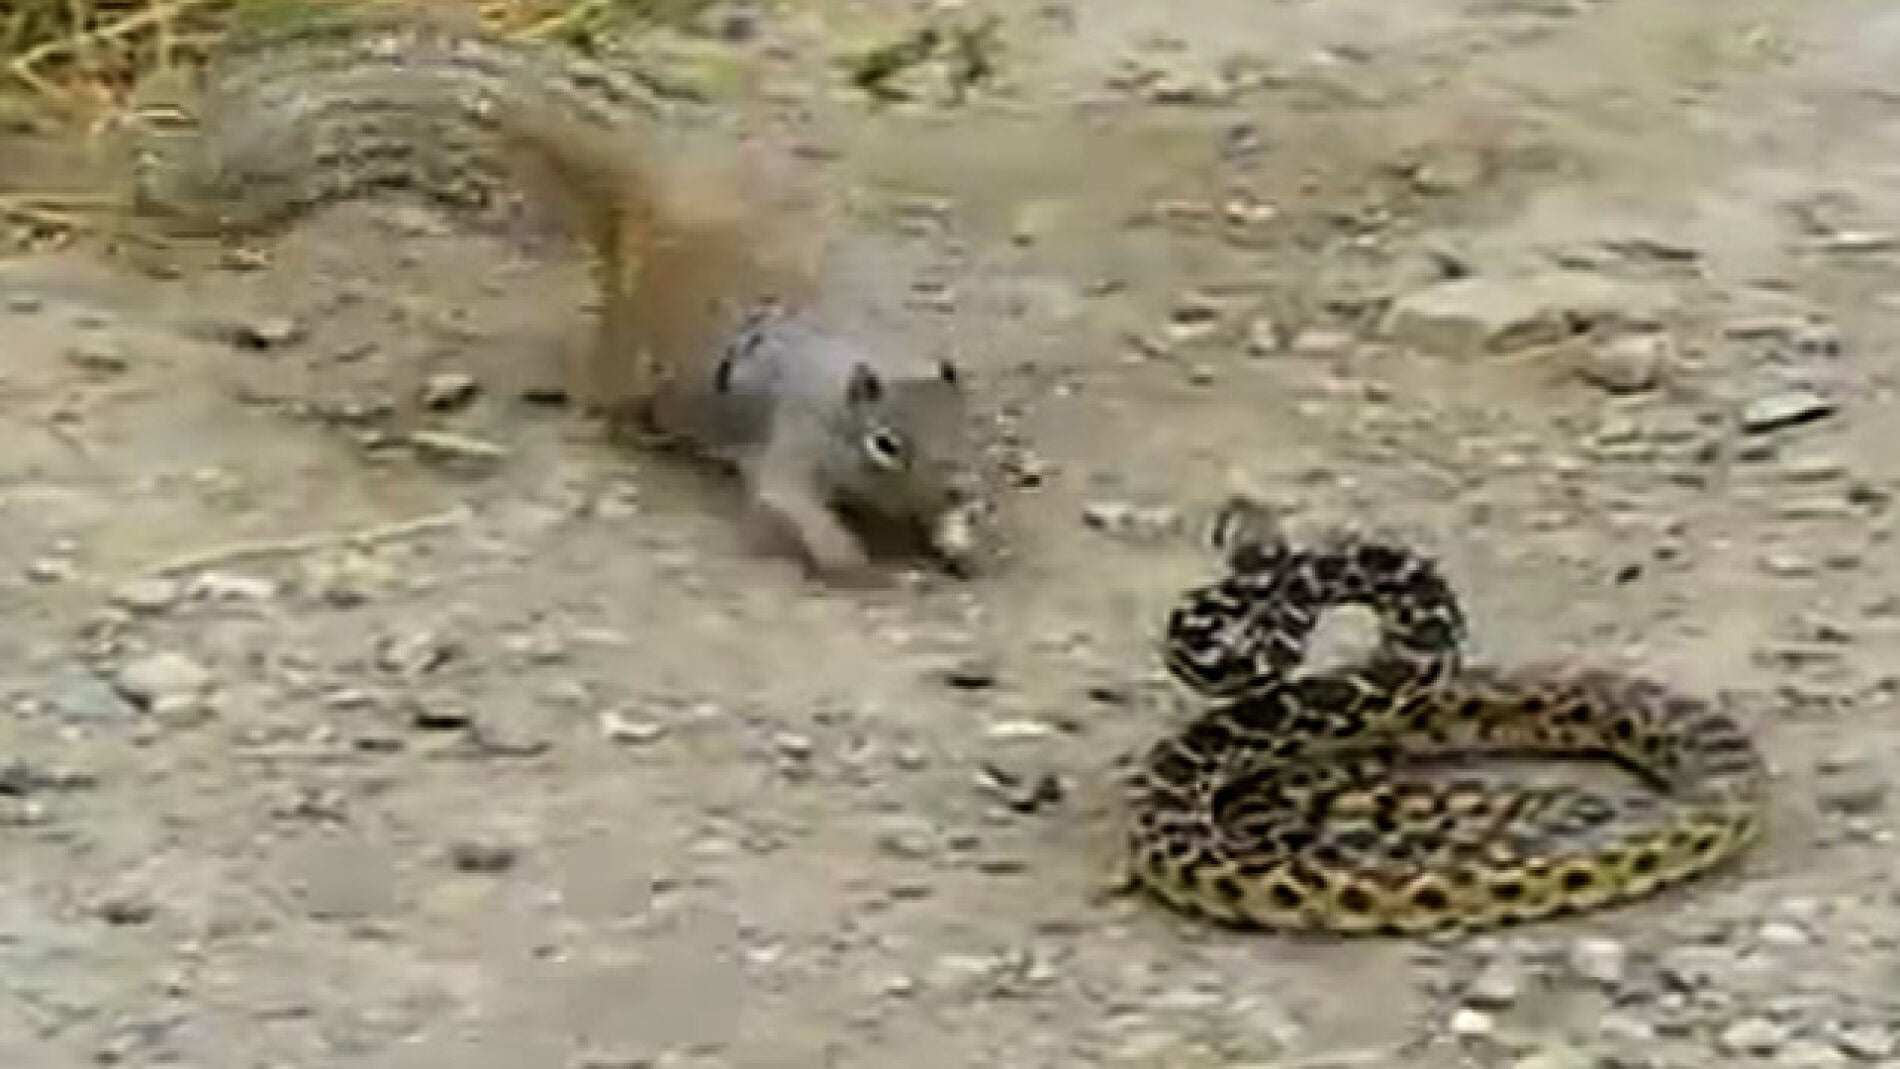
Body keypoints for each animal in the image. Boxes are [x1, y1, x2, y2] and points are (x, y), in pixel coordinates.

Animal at [125, 12, 985, 584]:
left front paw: (956, 534)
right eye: (886, 442)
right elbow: (789, 499)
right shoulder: (793, 442)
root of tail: (657, 201)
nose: (947, 485)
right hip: (629, 359)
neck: (845, 375)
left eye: (963, 432)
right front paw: (848, 556)